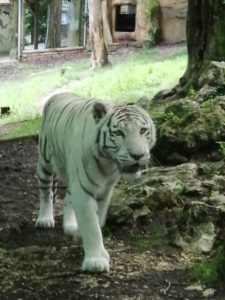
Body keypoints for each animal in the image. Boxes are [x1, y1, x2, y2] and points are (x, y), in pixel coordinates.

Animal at [36, 92, 156, 274]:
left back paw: (71, 227)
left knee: (67, 199)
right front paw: (95, 261)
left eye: (142, 130)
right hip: (45, 163)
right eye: (119, 133)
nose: (138, 155)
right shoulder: (83, 191)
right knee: (46, 192)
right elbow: (92, 227)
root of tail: (58, 94)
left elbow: (98, 221)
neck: (109, 163)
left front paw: (97, 249)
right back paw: (45, 219)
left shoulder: (104, 192)